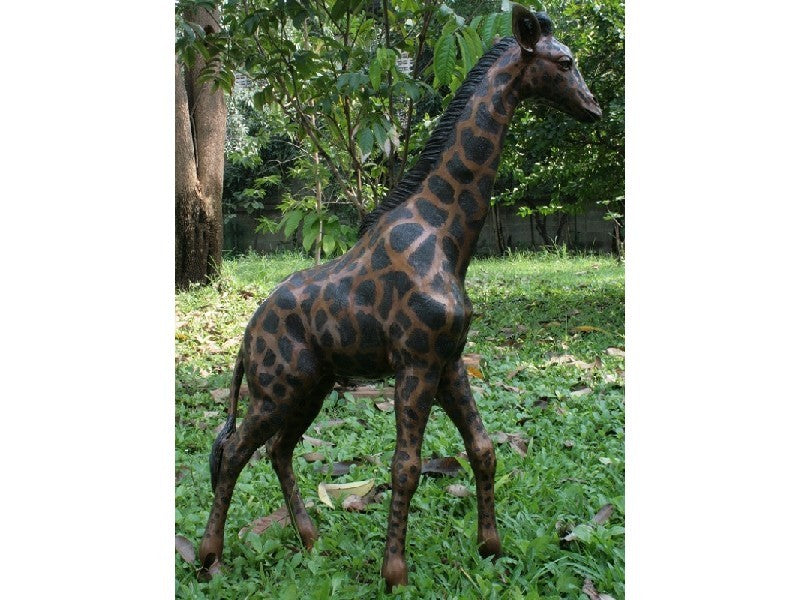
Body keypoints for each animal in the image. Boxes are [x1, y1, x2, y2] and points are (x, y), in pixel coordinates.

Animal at [197, 4, 602, 589]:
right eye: (565, 61)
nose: (594, 108)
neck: (447, 236)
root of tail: (245, 338)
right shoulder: (415, 360)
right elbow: (405, 467)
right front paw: (395, 572)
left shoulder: (448, 359)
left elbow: (483, 448)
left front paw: (491, 547)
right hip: (276, 389)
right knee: (232, 453)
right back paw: (209, 556)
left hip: (309, 388)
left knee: (276, 450)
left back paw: (311, 539)